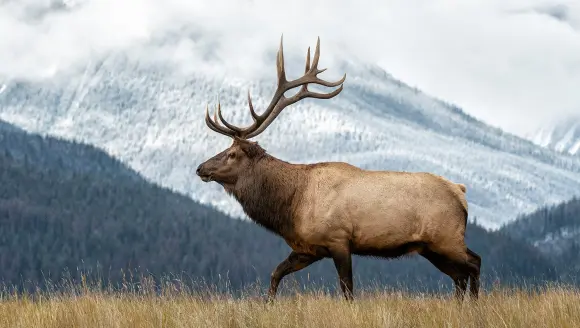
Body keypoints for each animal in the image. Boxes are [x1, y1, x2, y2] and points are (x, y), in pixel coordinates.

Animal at [197, 35, 482, 300]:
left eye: (232, 154)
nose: (200, 168)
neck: (292, 205)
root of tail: (460, 192)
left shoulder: (339, 239)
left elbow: (347, 290)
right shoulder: (307, 248)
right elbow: (275, 273)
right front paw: (267, 304)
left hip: (446, 237)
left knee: (474, 264)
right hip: (431, 247)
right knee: (460, 274)